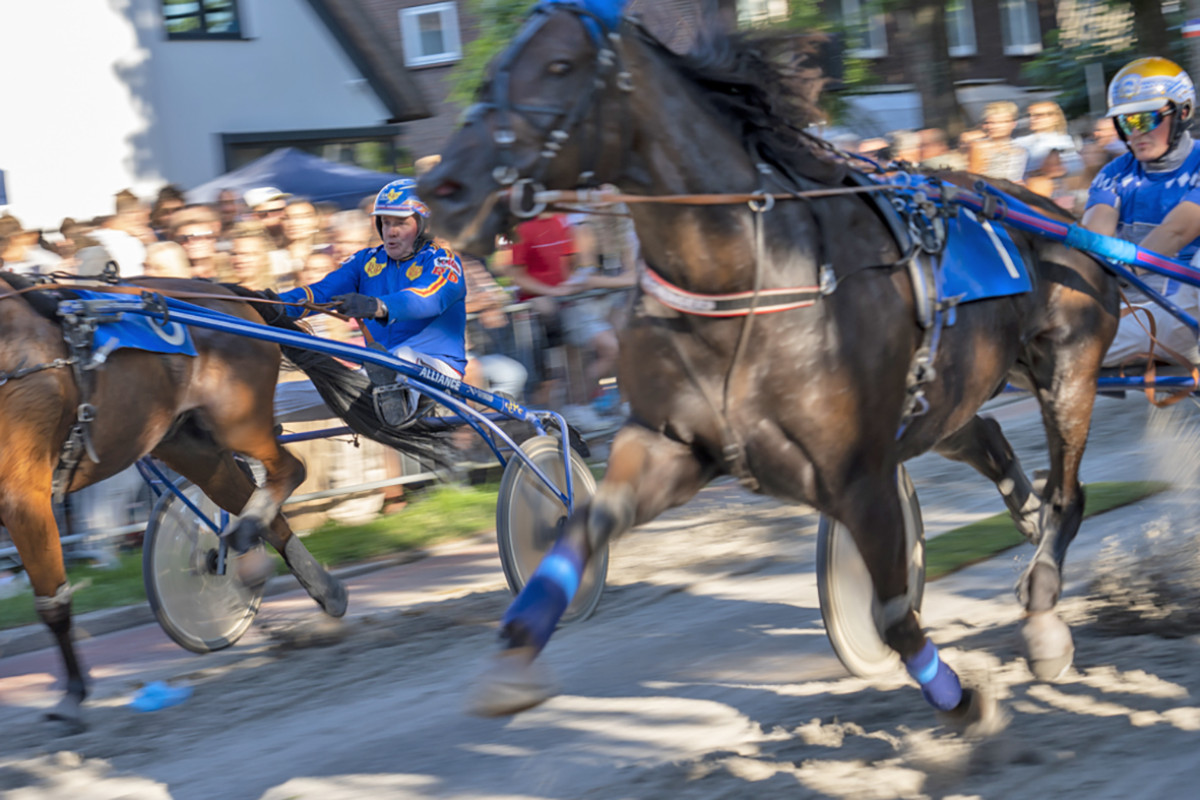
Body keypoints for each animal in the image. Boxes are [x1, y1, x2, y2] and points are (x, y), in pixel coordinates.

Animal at [0, 277, 444, 734]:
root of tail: (222, 290)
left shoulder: (23, 495)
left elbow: (54, 602)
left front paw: (73, 695)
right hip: (185, 441)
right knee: (259, 503)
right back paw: (316, 584)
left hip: (237, 419)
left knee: (289, 469)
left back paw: (251, 540)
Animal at [417, 1, 1118, 724]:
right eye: (494, 70)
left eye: (560, 65)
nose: (442, 187)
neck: (751, 274)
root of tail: (1058, 212)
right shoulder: (668, 443)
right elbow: (583, 527)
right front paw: (514, 650)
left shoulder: (859, 474)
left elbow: (892, 612)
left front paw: (962, 700)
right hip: (946, 398)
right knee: (991, 441)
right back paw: (1029, 528)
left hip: (1067, 373)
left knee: (1068, 494)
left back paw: (1043, 608)